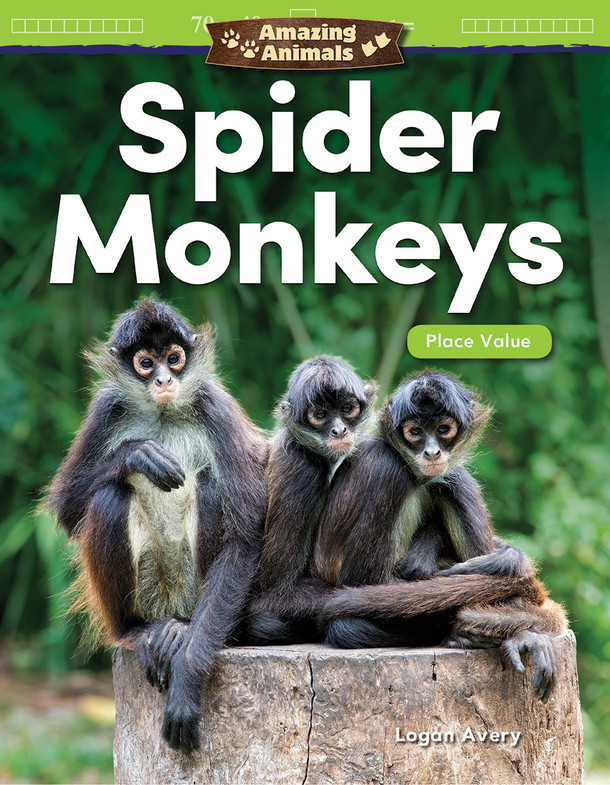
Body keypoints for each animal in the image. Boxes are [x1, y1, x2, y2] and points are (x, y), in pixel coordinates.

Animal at [48, 299, 267, 754]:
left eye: (174, 358)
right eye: (146, 363)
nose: (164, 379)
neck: (164, 413)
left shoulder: (214, 403)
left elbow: (244, 539)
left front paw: (186, 682)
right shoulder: (106, 406)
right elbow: (67, 509)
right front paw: (135, 455)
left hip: (191, 590)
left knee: (211, 486)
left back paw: (180, 631)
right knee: (109, 497)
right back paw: (136, 632)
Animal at [313, 371, 566, 701]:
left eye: (443, 429)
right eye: (416, 432)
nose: (432, 452)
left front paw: (507, 564)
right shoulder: (382, 463)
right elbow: (360, 585)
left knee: (452, 478)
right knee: (348, 626)